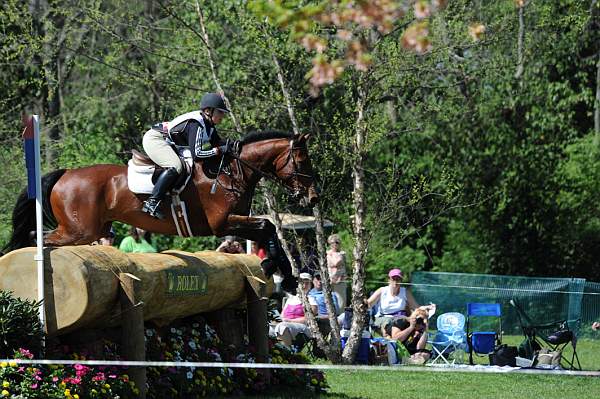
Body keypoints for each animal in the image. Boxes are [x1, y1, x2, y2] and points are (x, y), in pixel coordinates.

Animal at [2, 133, 318, 290]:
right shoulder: (222, 224)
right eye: (302, 162)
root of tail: (66, 174)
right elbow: (267, 226)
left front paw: (280, 271)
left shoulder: (234, 223)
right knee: (36, 236)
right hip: (79, 231)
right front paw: (280, 269)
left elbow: (268, 229)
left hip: (91, 229)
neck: (231, 171)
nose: (313, 198)